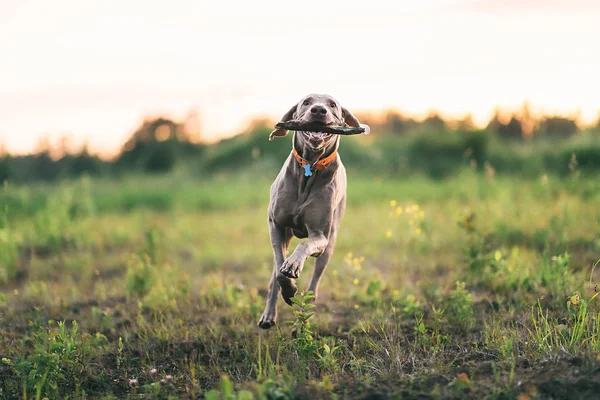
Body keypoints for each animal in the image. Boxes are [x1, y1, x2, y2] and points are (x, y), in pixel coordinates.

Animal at [258, 93, 370, 328]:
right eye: (306, 102)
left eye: (333, 105)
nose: (319, 110)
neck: (310, 166)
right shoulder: (276, 225)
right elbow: (279, 271)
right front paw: (288, 289)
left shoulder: (320, 235)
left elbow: (305, 245)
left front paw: (294, 266)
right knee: (275, 273)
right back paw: (268, 315)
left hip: (330, 243)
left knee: (314, 286)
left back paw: (300, 321)